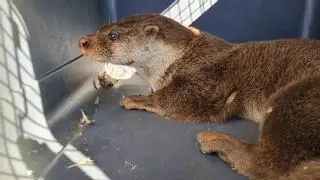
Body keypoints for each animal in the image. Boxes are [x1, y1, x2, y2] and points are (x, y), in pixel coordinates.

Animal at [77, 14, 320, 180]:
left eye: (113, 36)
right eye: (101, 28)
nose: (82, 41)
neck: (184, 56)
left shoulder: (207, 81)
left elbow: (174, 99)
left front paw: (136, 98)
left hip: (296, 100)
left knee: (268, 165)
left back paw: (214, 140)